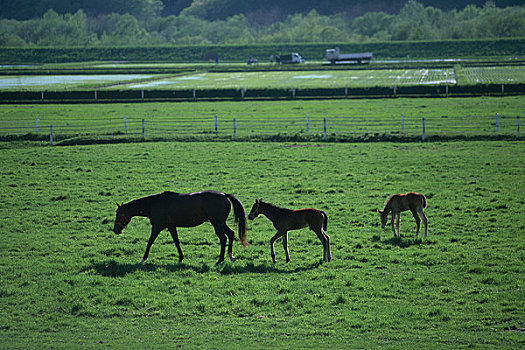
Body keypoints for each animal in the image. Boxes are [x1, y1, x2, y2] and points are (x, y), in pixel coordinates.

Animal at [113, 191, 248, 262]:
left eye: (119, 215)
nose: (115, 230)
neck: (154, 204)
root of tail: (225, 195)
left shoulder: (157, 227)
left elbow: (150, 242)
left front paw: (143, 259)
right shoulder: (171, 227)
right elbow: (176, 242)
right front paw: (181, 258)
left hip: (216, 223)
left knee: (223, 238)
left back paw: (220, 260)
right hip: (220, 222)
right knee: (230, 234)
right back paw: (230, 256)